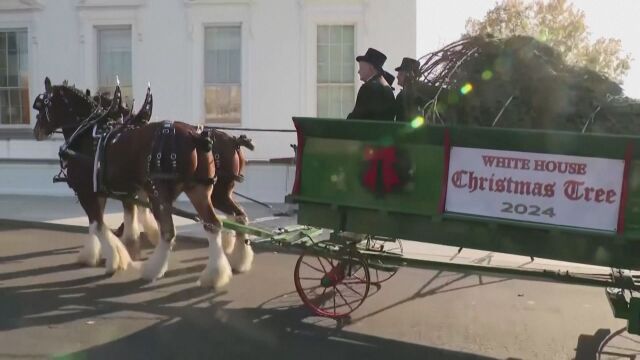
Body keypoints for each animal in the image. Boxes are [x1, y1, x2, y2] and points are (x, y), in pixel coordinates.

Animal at [32, 77, 252, 288]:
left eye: (43, 105)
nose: (36, 131)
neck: (87, 133)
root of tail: (197, 136)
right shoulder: (106, 192)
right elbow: (105, 222)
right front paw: (95, 254)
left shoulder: (87, 190)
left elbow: (98, 226)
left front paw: (116, 259)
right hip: (203, 190)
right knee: (221, 221)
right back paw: (225, 267)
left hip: (162, 192)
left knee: (170, 231)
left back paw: (155, 269)